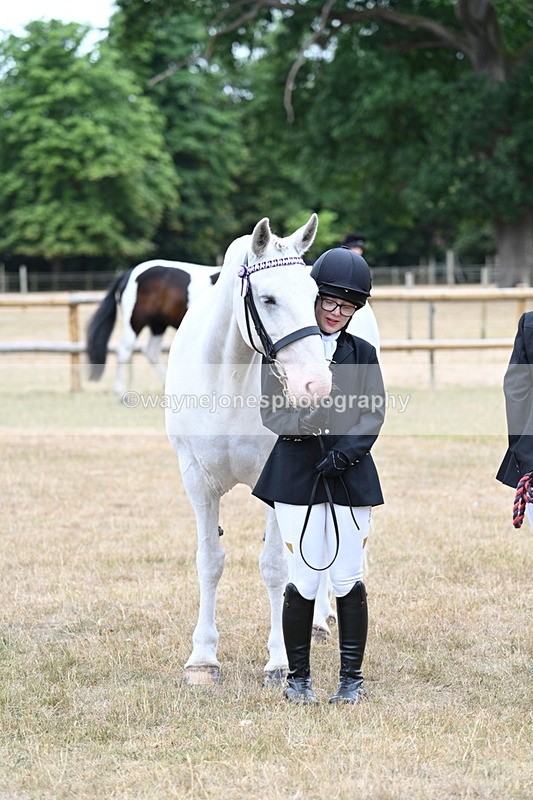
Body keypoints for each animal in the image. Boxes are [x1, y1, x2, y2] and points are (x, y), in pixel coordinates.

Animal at [86, 260, 220, 395]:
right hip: (135, 323)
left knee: (151, 351)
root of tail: (128, 274)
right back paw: (121, 392)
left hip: (158, 325)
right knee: (124, 351)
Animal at [165, 213, 335, 685]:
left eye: (315, 296)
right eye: (268, 297)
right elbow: (210, 560)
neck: (228, 381)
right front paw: (203, 658)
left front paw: (279, 660)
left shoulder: (277, 481)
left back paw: (318, 620)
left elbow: (275, 566)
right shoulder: (196, 481)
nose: (316, 385)